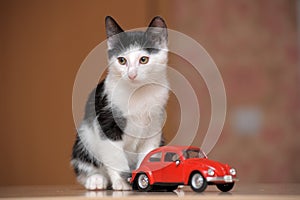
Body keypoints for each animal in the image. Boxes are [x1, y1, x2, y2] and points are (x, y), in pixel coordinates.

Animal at [70, 16, 169, 190]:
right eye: (122, 60)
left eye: (144, 60)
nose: (131, 74)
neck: (137, 94)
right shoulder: (106, 121)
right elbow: (114, 154)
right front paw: (121, 182)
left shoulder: (155, 125)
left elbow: (148, 153)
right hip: (84, 136)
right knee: (83, 162)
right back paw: (95, 179)